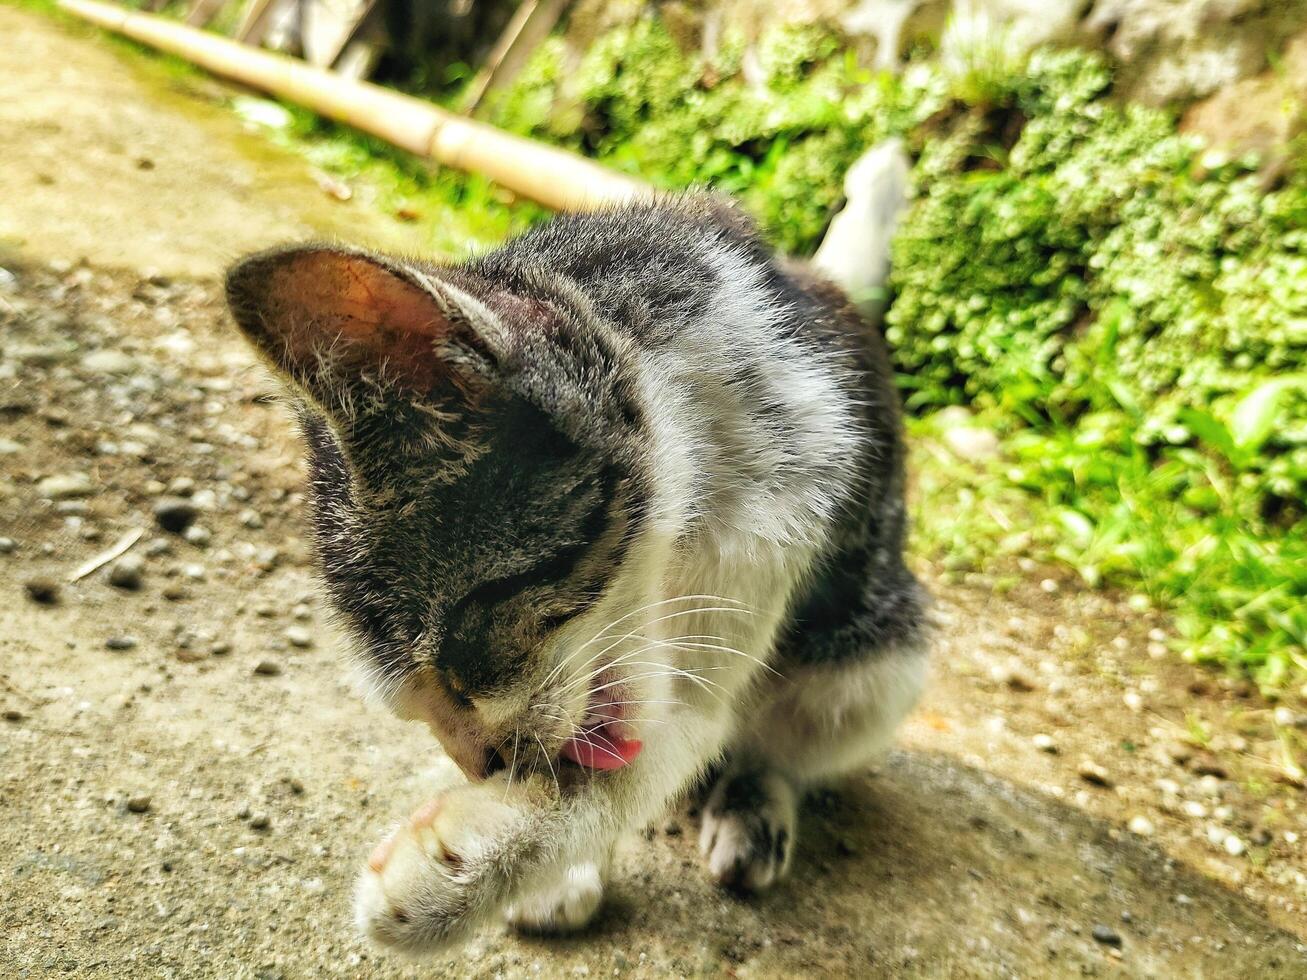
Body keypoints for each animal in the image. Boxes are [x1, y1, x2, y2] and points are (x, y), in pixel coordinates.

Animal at [224, 195, 930, 956]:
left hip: (879, 658)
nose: (481, 767)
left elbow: (650, 761)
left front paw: (457, 869)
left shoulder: (777, 533)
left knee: (790, 741)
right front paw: (542, 862)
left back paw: (755, 805)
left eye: (462, 665)